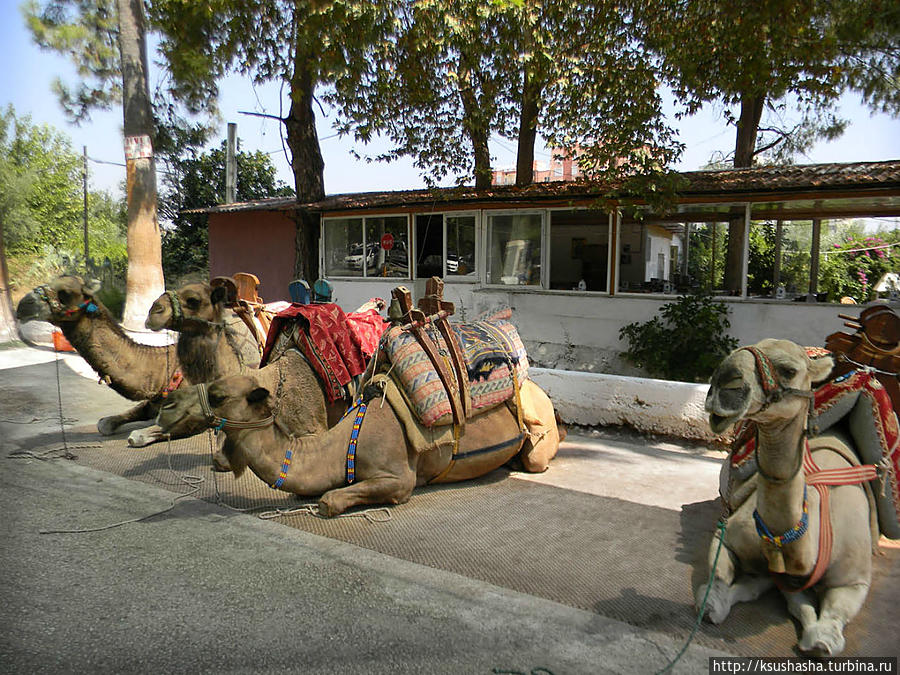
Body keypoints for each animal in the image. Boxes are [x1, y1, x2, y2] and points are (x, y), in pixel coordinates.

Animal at [158, 368, 560, 516]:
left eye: (218, 395)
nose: (166, 404)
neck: (340, 449)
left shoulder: (399, 478)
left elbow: (329, 500)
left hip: (540, 431)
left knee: (536, 455)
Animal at [704, 340, 880, 656]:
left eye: (789, 370)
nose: (724, 384)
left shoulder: (855, 579)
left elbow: (827, 622)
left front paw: (821, 640)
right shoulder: (730, 536)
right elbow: (721, 588)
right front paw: (716, 602)